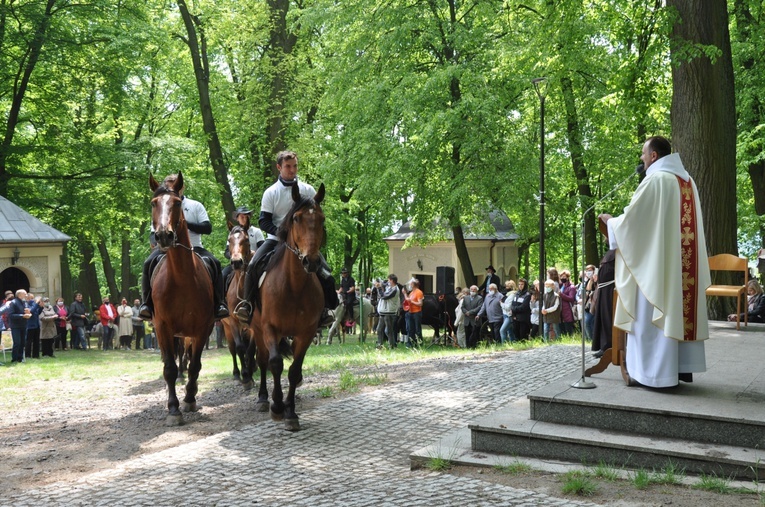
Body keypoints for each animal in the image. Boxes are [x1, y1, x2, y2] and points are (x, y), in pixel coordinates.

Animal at [148, 173, 215, 426]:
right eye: (153, 203)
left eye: (177, 203)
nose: (163, 236)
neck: (182, 277)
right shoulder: (162, 327)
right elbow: (169, 368)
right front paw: (174, 409)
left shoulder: (203, 328)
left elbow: (195, 365)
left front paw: (189, 399)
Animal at [248, 183, 326, 432]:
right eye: (297, 218)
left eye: (321, 219)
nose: (311, 261)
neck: (293, 286)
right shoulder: (269, 328)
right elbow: (275, 363)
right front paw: (277, 406)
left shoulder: (306, 332)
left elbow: (294, 371)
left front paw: (291, 412)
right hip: (257, 330)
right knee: (263, 361)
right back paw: (264, 398)